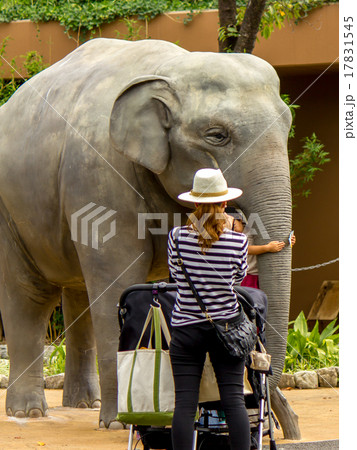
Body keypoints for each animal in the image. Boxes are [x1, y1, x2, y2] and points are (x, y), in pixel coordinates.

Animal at [0, 37, 290, 426]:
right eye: (217, 135)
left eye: (288, 125)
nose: (274, 415)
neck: (171, 67)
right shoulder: (99, 176)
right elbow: (117, 280)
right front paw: (117, 423)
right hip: (11, 211)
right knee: (29, 295)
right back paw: (29, 412)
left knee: (80, 298)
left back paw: (85, 404)